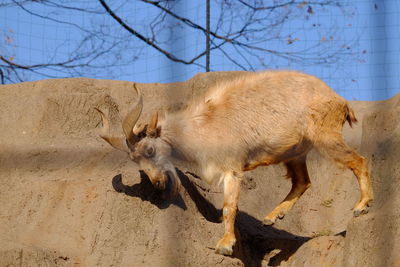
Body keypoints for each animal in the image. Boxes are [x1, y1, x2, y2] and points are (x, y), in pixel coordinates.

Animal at [95, 71, 374, 258]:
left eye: (150, 149)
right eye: (135, 160)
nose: (158, 183)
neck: (201, 127)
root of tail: (339, 100)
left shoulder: (231, 170)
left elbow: (230, 207)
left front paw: (225, 245)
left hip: (326, 137)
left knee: (358, 161)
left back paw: (361, 206)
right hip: (295, 154)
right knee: (302, 181)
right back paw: (272, 217)